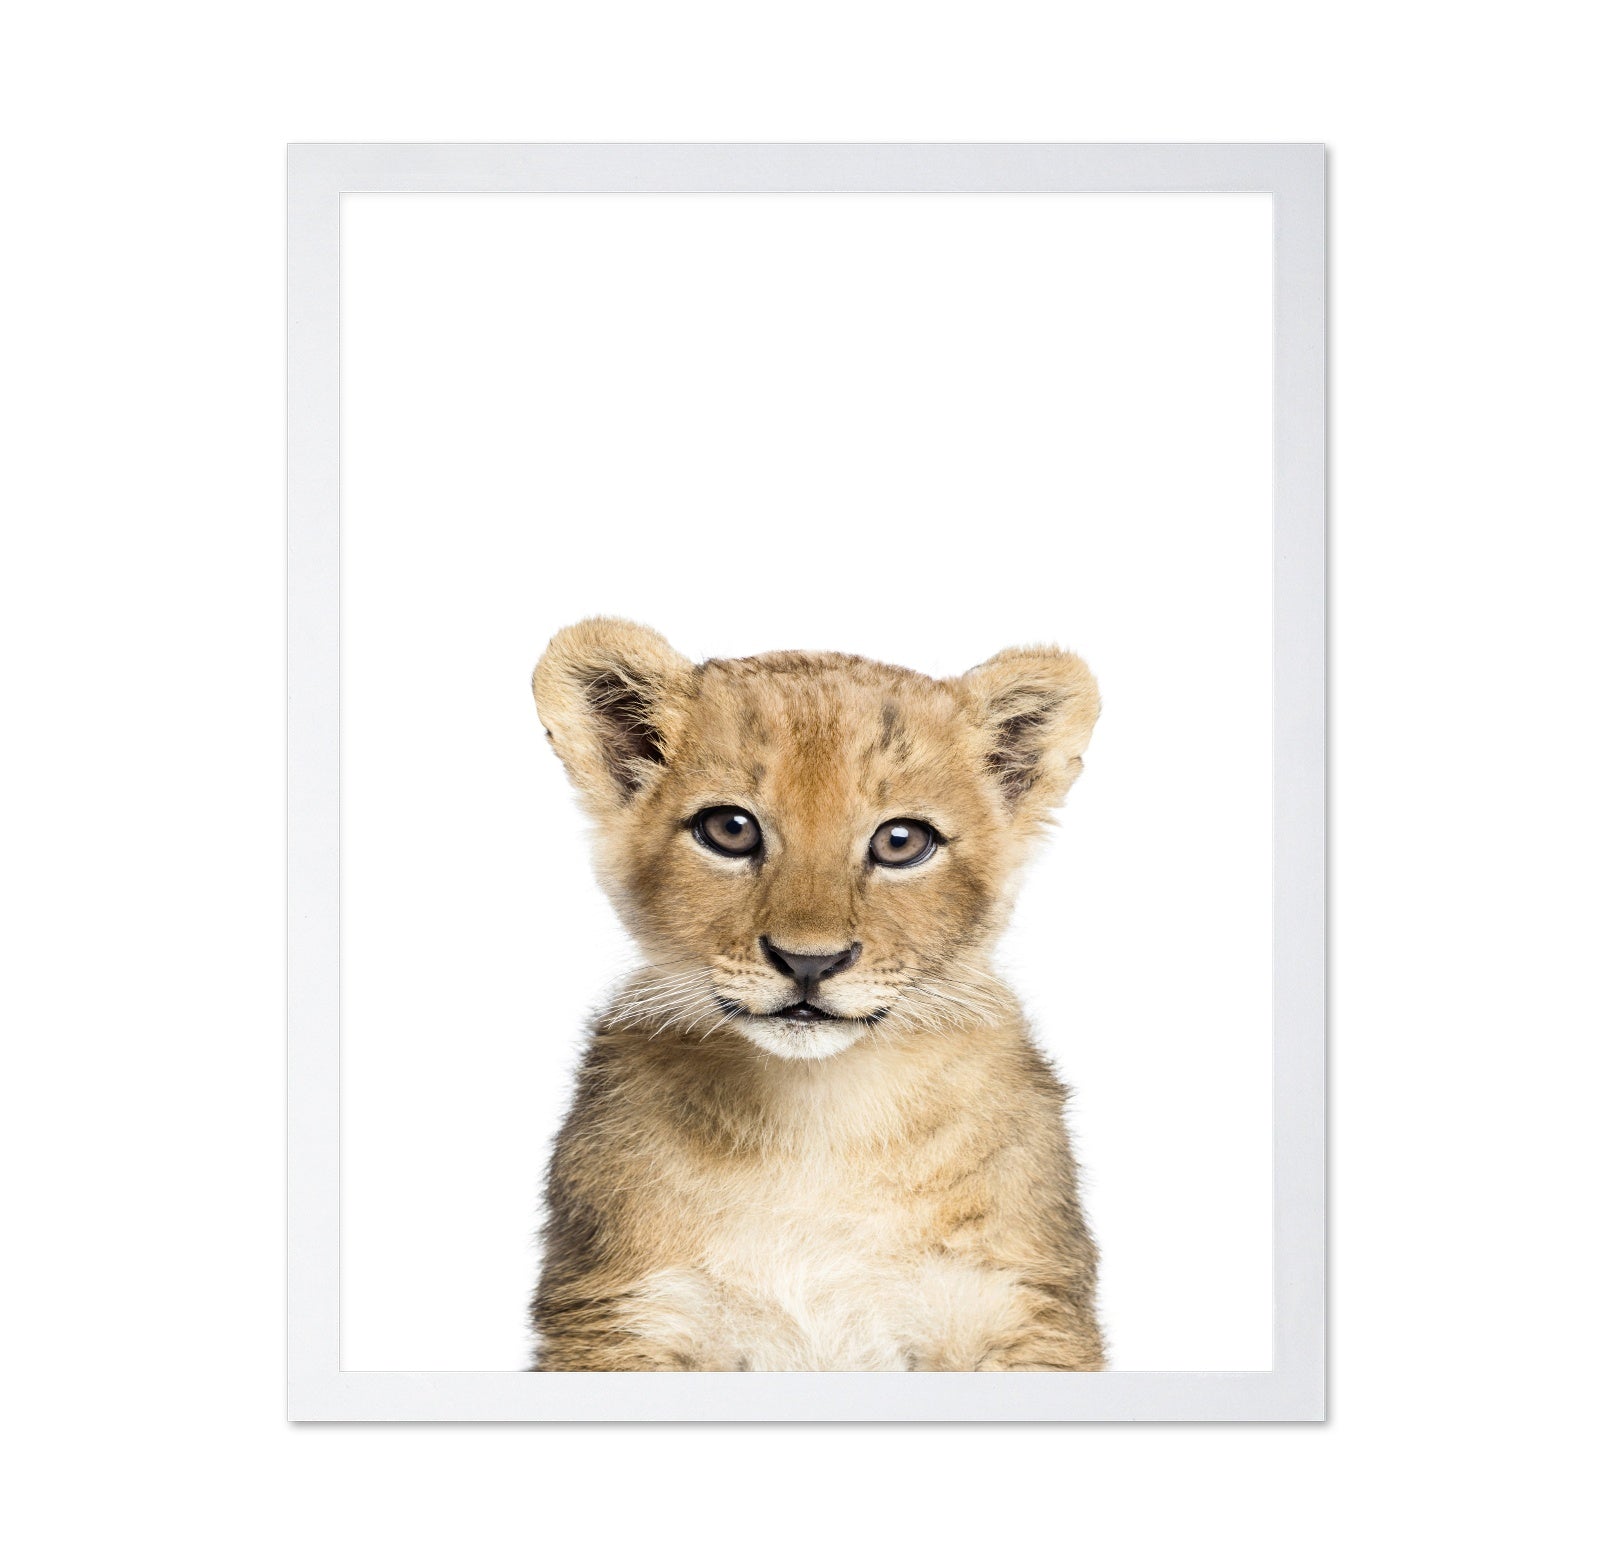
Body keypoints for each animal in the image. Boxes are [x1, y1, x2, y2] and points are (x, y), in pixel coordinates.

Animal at [528, 618, 1105, 1372]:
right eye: (730, 829)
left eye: (901, 841)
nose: (809, 961)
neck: (818, 1118)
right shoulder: (623, 1314)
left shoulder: (1020, 1308)